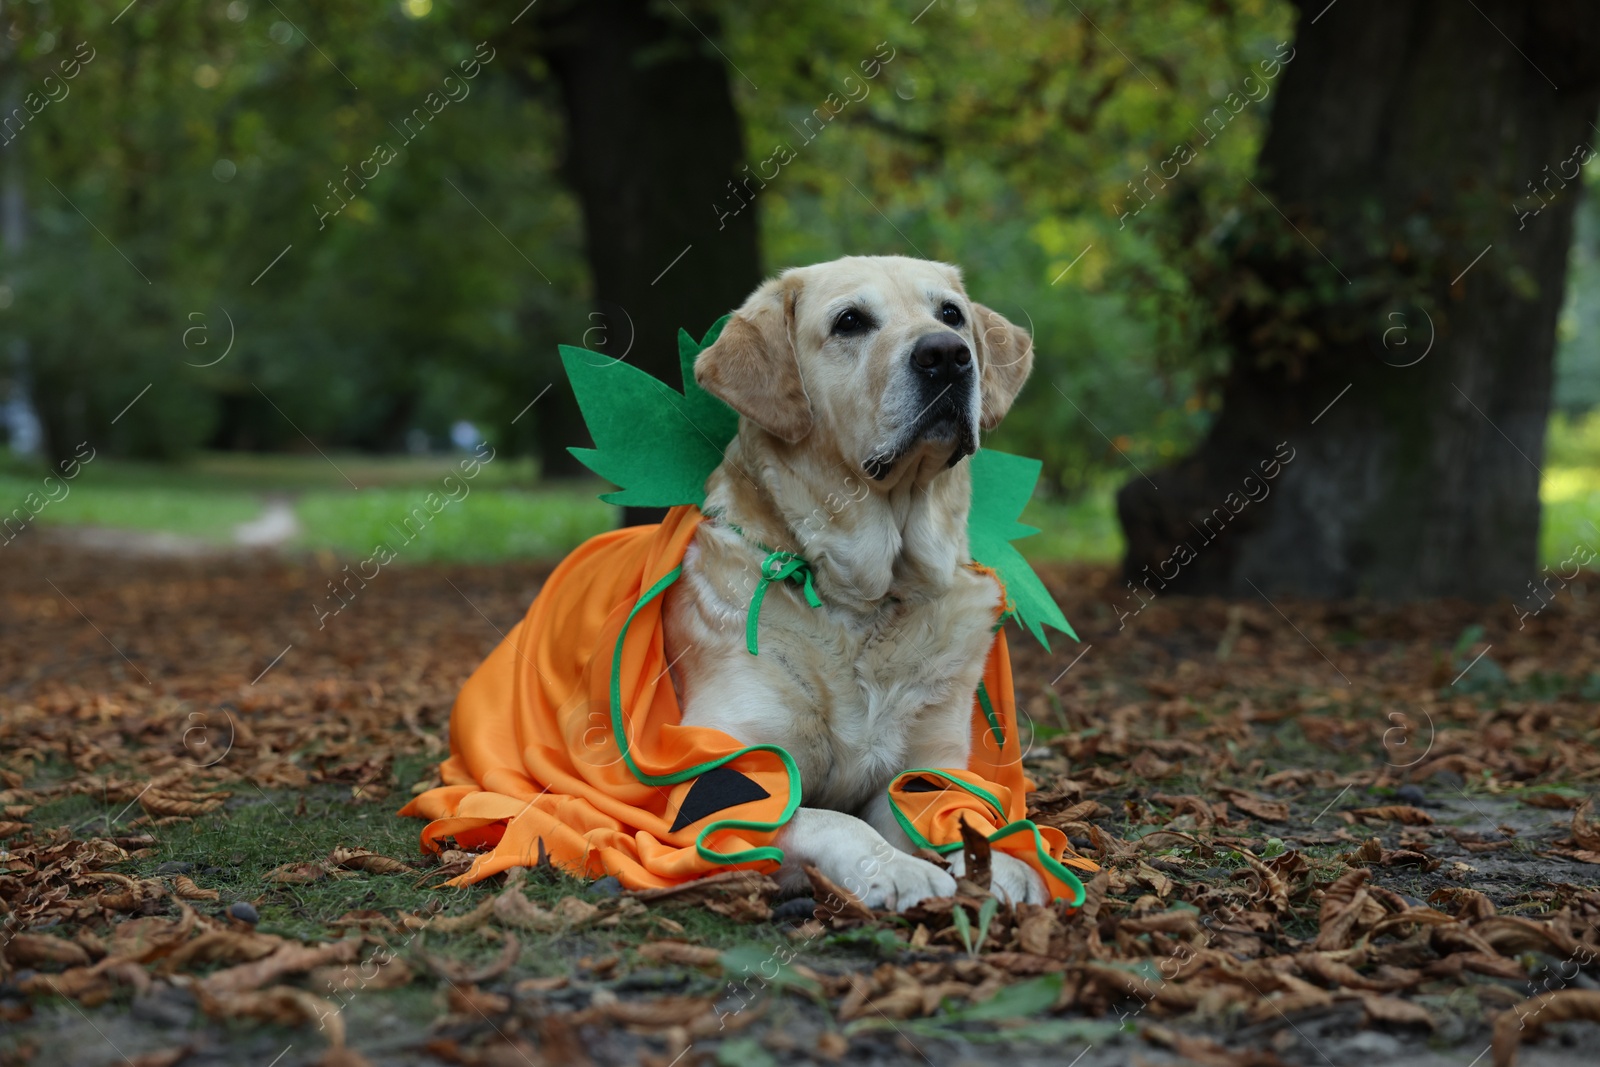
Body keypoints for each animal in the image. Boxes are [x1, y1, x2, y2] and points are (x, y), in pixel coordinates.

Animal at [656, 255, 1043, 908]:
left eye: (951, 314)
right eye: (850, 322)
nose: (947, 354)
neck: (870, 598)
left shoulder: (927, 768)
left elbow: (946, 814)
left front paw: (1005, 865)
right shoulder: (719, 786)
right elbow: (830, 818)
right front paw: (897, 868)